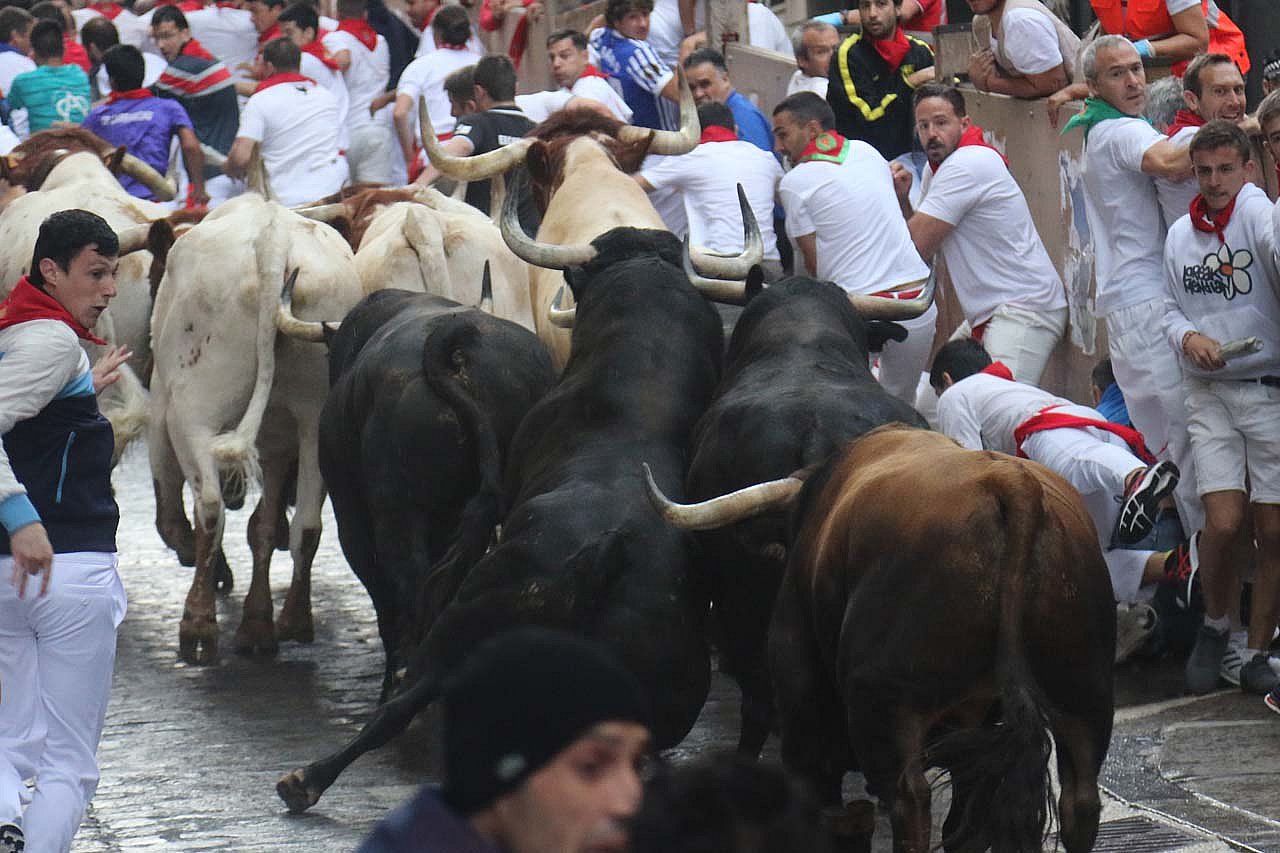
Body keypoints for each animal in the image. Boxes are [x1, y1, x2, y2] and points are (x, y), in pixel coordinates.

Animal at [149, 192, 363, 663]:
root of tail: (273, 244)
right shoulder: (279, 439)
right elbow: (264, 528)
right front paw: (257, 622)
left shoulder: (160, 402)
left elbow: (171, 513)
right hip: (316, 414)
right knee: (307, 524)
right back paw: (293, 620)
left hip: (193, 406)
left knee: (209, 507)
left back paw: (198, 624)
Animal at [646, 426, 1115, 853]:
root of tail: (1011, 484)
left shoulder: (802, 700)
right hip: (1083, 696)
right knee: (1075, 803)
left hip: (887, 707)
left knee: (910, 803)